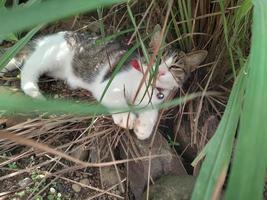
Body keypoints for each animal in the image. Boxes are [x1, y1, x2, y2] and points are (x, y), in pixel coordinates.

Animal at [0, 30, 208, 139]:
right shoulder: (108, 84)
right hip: (53, 55)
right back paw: (33, 91)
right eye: (156, 57)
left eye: (174, 67)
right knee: (27, 69)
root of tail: (57, 34)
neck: (146, 86)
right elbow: (117, 100)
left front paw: (144, 127)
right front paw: (126, 117)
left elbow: (152, 112)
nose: (161, 70)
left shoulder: (156, 99)